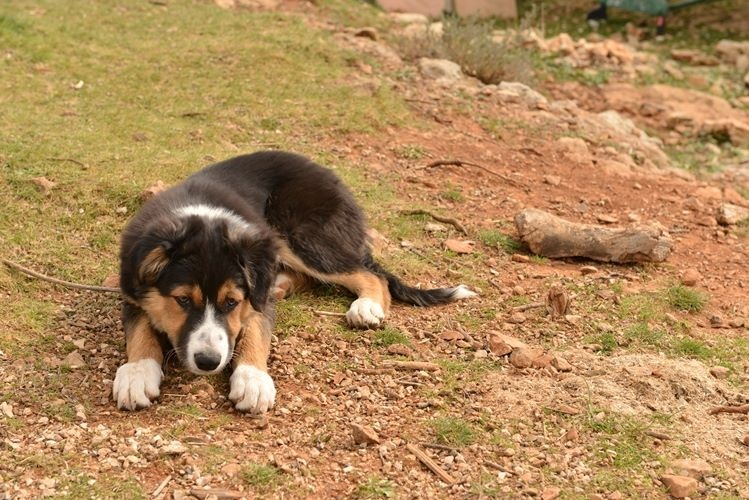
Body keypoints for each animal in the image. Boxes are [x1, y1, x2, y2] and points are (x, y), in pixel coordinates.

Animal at [113, 151, 475, 413]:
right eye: (183, 300)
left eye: (232, 302)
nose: (207, 362)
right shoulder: (132, 288)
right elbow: (140, 330)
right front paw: (137, 373)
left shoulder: (255, 294)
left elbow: (255, 331)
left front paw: (253, 379)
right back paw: (283, 284)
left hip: (296, 229)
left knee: (368, 274)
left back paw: (367, 306)